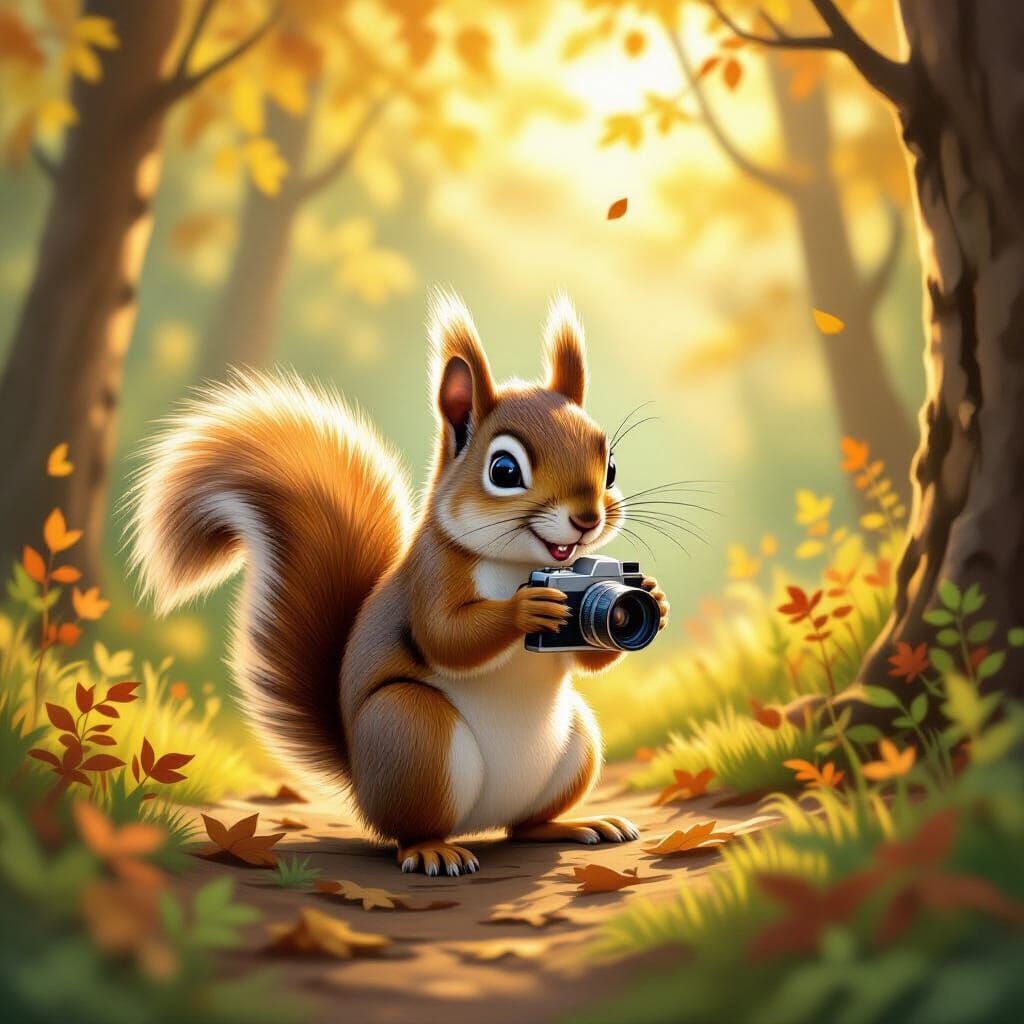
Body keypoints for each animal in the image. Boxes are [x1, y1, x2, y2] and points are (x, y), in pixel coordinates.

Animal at [130, 292, 668, 875]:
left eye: (609, 466)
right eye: (503, 470)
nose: (587, 519)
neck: (521, 565)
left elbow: (591, 655)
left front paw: (654, 599)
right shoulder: (431, 575)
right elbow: (445, 638)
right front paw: (526, 612)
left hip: (577, 743)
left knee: (525, 826)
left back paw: (573, 824)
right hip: (412, 733)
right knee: (408, 830)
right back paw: (433, 850)